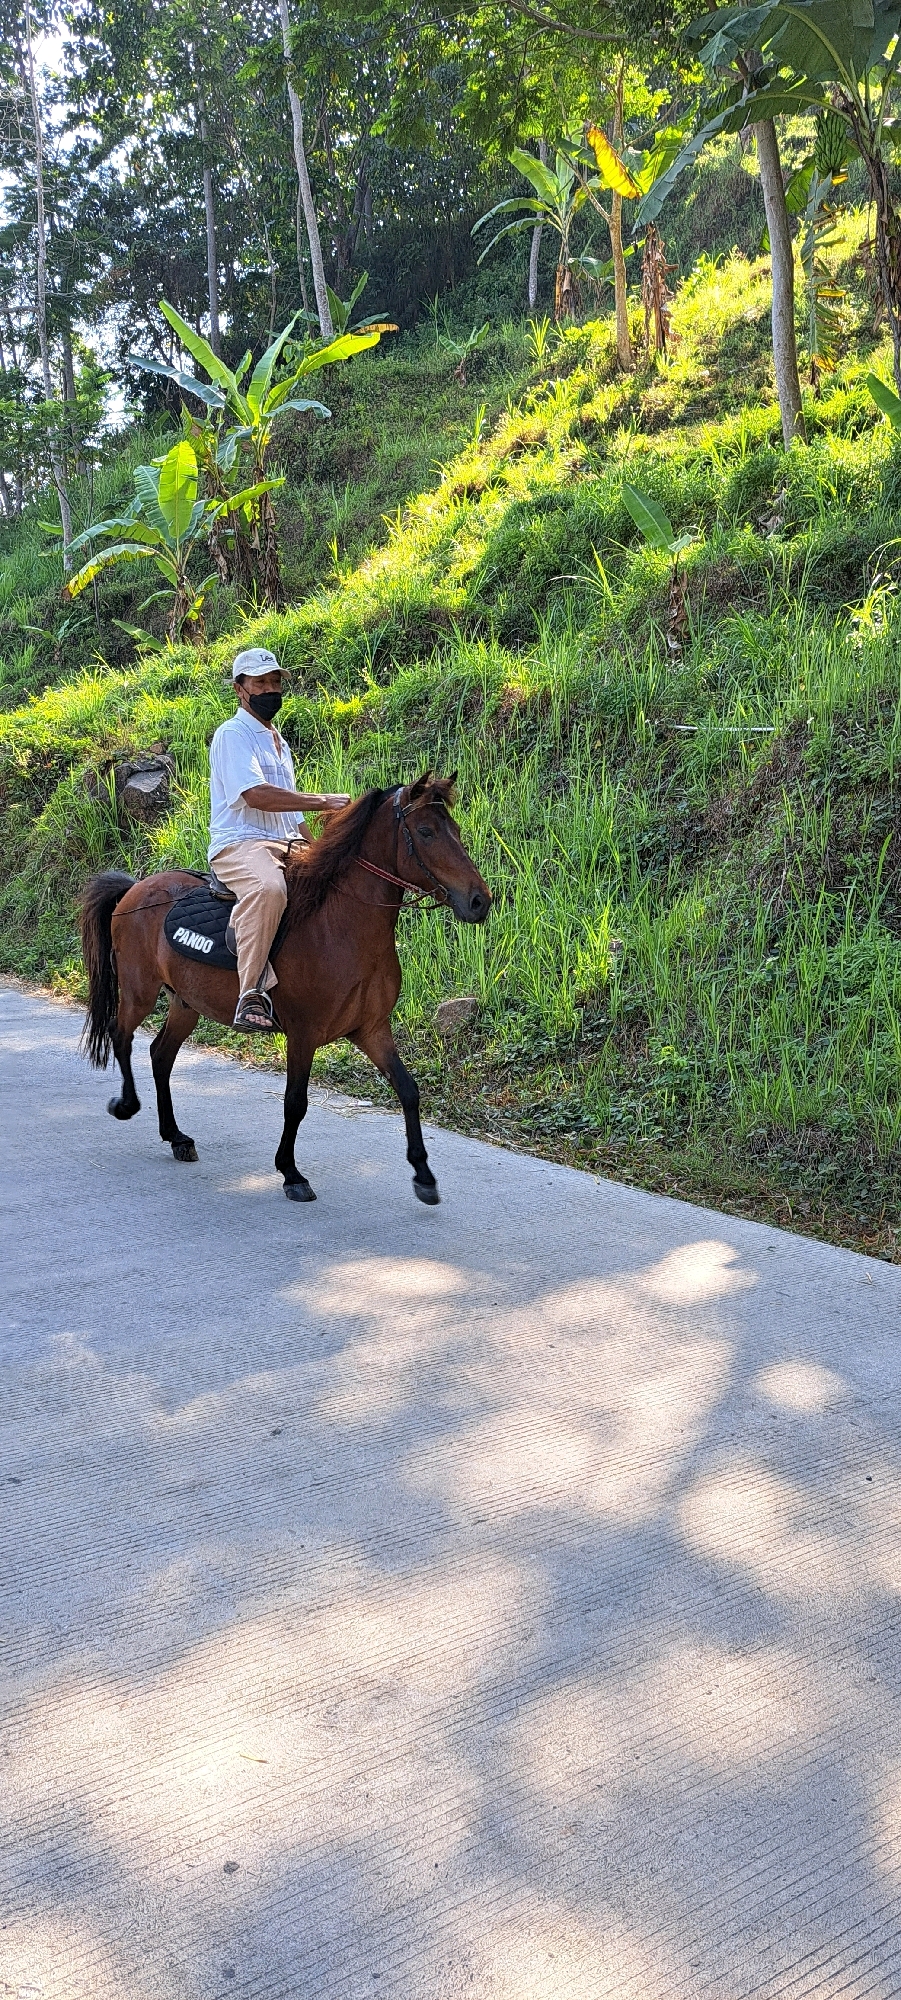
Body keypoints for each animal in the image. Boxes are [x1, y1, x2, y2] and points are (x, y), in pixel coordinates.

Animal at [80, 773, 491, 1204]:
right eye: (426, 831)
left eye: (454, 829)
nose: (480, 900)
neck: (341, 927)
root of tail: (135, 888)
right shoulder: (303, 1034)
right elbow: (295, 1103)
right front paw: (291, 1173)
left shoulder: (372, 1030)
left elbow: (408, 1090)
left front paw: (424, 1175)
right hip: (139, 990)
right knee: (121, 1035)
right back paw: (127, 1104)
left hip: (186, 1003)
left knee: (161, 1055)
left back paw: (176, 1137)